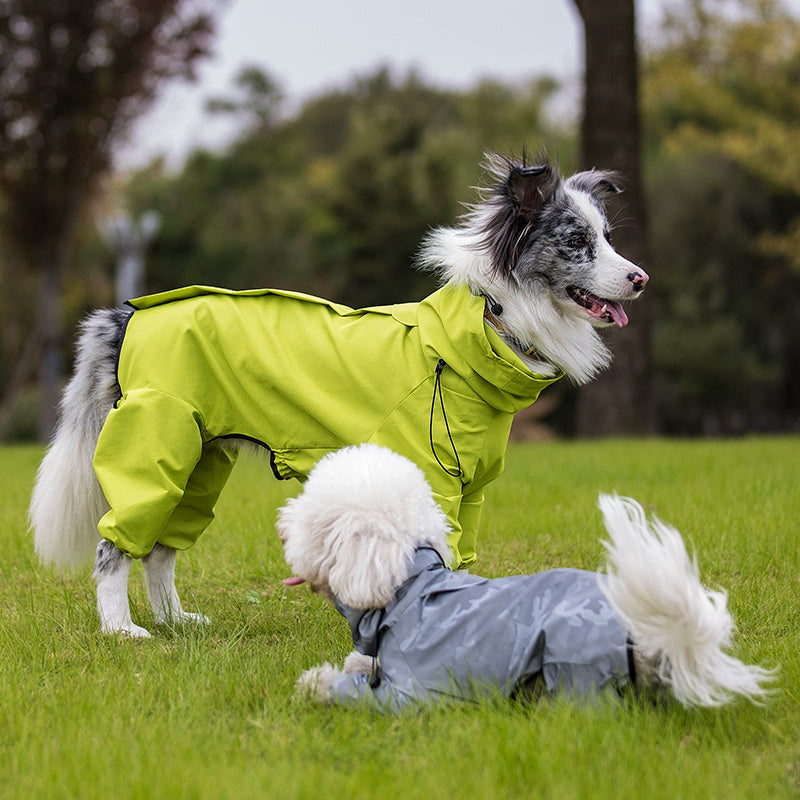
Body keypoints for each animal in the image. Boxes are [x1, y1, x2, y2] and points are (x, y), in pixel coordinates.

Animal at [278, 444, 772, 712]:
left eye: (314, 519)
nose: (282, 524)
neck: (412, 585)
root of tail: (653, 632)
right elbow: (363, 662)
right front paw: (354, 663)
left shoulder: (415, 695)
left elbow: (350, 690)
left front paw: (314, 683)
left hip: (571, 665)